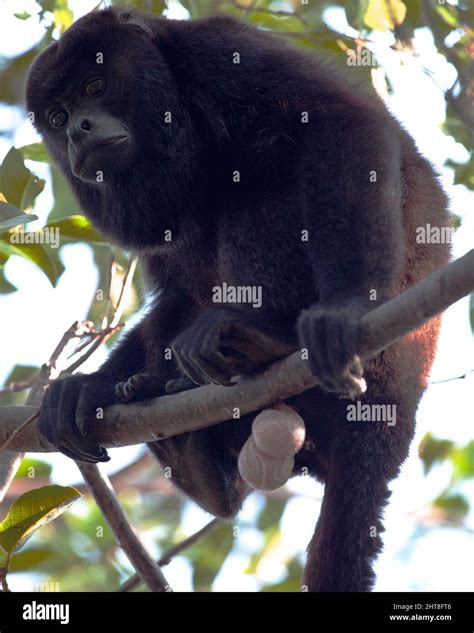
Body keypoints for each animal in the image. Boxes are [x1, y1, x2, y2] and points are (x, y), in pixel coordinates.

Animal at [26, 7, 452, 592]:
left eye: (95, 84)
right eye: (58, 114)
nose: (76, 130)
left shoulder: (219, 52)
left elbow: (337, 123)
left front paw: (344, 309)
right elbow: (175, 289)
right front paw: (89, 386)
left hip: (385, 361)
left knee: (257, 179)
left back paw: (260, 340)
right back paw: (191, 451)